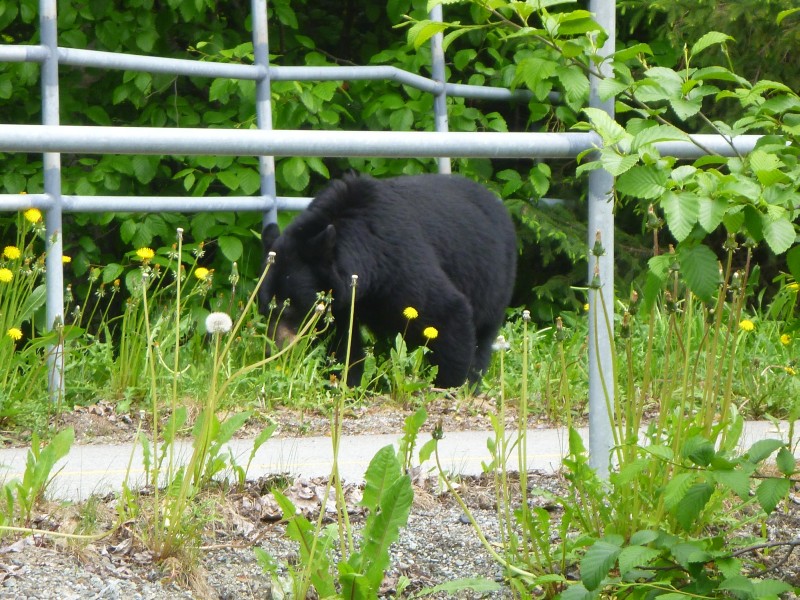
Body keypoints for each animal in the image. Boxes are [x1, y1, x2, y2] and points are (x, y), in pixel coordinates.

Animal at [258, 173, 520, 390]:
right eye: (264, 309)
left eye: (289, 307)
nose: (273, 349)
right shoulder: (340, 300)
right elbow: (342, 341)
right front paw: (345, 383)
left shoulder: (398, 262)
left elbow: (446, 312)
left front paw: (451, 384)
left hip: (493, 277)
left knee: (482, 335)